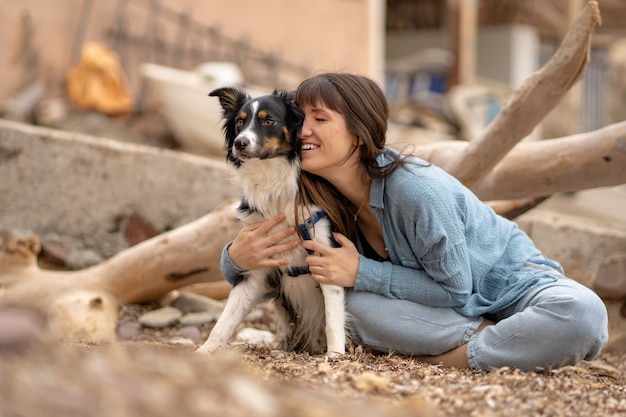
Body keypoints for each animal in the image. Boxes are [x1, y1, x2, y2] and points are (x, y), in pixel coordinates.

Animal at [196, 87, 346, 358]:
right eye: (240, 122)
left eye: (268, 121)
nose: (239, 143)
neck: (273, 183)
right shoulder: (256, 261)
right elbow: (226, 317)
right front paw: (204, 351)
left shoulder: (327, 256)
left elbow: (333, 319)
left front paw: (335, 357)